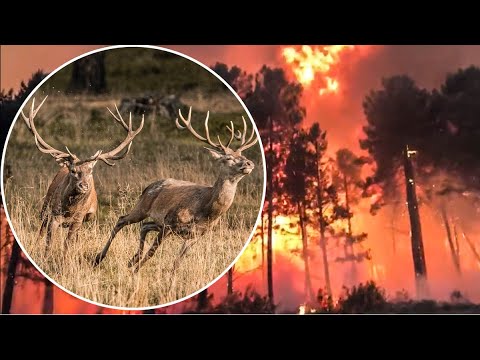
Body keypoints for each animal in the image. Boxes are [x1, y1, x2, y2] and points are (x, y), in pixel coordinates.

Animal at [23, 97, 142, 252]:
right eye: (73, 171)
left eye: (90, 171)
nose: (84, 185)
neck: (70, 210)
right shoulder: (54, 215)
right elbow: (48, 243)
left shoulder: (78, 220)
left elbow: (67, 244)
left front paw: (65, 257)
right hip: (45, 207)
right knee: (41, 231)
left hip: (86, 218)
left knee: (76, 236)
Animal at [94, 107, 258, 270]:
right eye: (228, 158)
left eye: (242, 154)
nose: (249, 163)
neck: (206, 211)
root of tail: (149, 186)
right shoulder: (169, 222)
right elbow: (152, 252)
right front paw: (136, 272)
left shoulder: (196, 235)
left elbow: (177, 262)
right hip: (143, 207)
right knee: (122, 220)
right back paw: (99, 258)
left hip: (157, 221)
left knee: (144, 226)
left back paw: (132, 259)